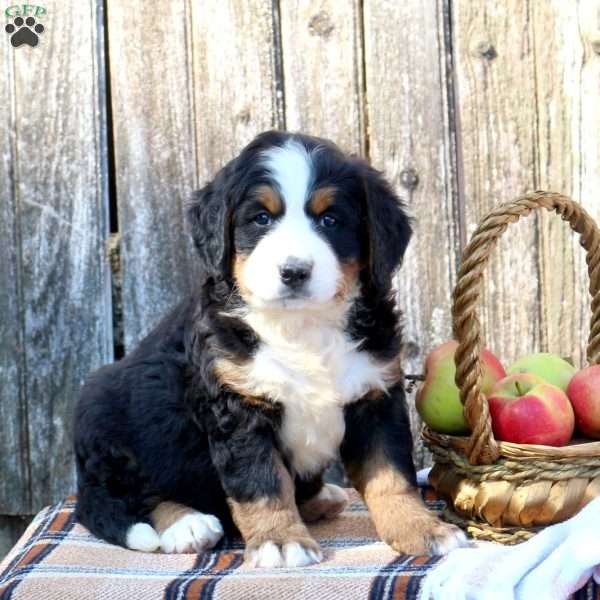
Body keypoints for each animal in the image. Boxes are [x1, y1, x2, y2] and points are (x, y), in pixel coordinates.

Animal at [75, 131, 466, 568]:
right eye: (261, 218)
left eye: (330, 220)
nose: (294, 271)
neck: (303, 326)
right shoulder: (238, 407)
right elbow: (261, 482)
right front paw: (281, 541)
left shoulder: (375, 394)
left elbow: (391, 475)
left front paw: (422, 529)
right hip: (103, 413)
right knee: (126, 499)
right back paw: (187, 524)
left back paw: (320, 498)